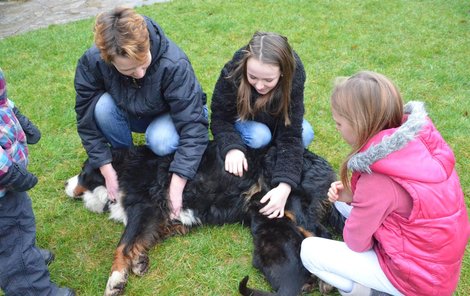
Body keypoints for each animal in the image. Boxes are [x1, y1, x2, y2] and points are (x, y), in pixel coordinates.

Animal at [64, 141, 336, 296]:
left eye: (82, 172)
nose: (64, 184)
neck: (125, 169)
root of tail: (323, 165)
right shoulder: (165, 216)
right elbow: (147, 237)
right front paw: (139, 259)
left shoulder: (145, 207)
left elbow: (122, 245)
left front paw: (116, 280)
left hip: (292, 205)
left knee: (321, 235)